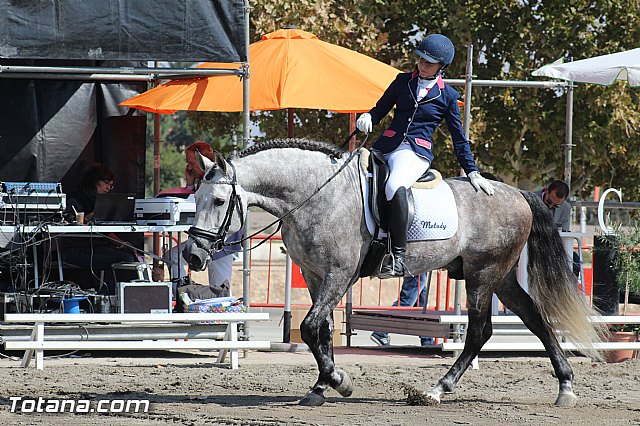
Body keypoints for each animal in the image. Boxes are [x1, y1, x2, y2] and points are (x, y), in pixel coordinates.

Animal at [182, 139, 604, 406]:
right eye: (195, 197)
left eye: (218, 201)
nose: (192, 256)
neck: (316, 195)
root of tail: (517, 193)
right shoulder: (317, 276)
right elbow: (323, 331)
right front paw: (321, 386)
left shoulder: (339, 274)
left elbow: (309, 327)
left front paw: (340, 382)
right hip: (499, 277)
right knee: (535, 318)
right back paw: (565, 387)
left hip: (483, 274)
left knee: (479, 332)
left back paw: (436, 390)